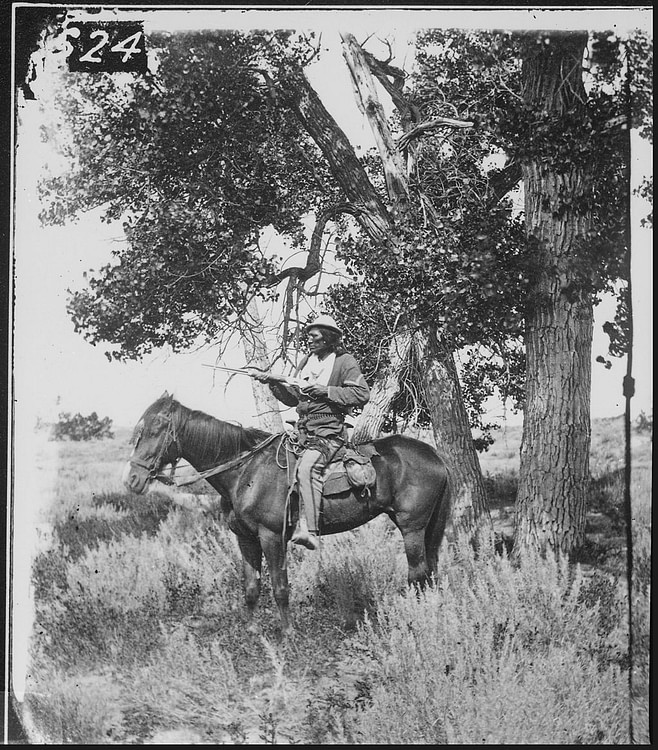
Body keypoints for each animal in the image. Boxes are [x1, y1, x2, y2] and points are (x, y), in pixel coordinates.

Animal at [121, 394, 452, 636]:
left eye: (154, 430)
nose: (132, 480)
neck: (245, 471)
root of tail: (436, 457)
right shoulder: (245, 538)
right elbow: (251, 587)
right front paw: (252, 630)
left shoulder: (271, 537)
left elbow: (280, 587)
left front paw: (288, 633)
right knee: (429, 571)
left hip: (412, 527)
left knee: (418, 573)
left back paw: (414, 616)